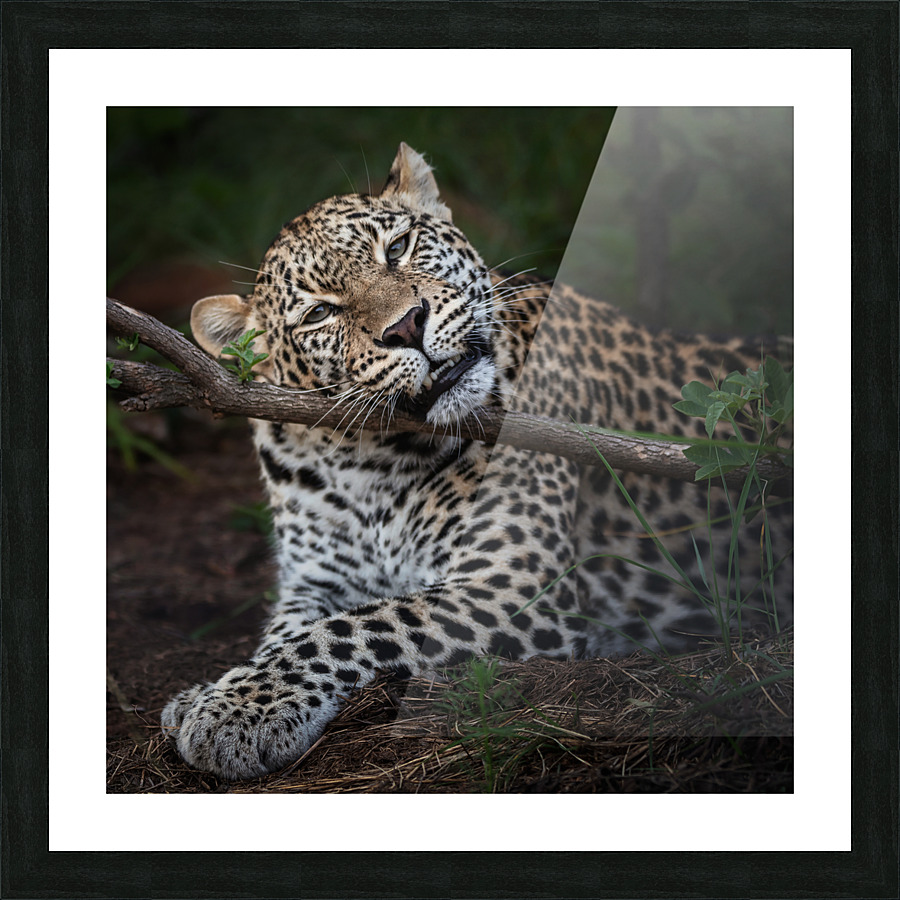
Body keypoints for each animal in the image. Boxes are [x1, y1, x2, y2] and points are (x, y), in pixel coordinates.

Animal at [161, 142, 793, 781]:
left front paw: (237, 708)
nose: (407, 324)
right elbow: (289, 630)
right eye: (319, 315)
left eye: (398, 248)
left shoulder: (513, 582)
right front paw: (214, 692)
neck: (368, 461)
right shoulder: (314, 578)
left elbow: (351, 627)